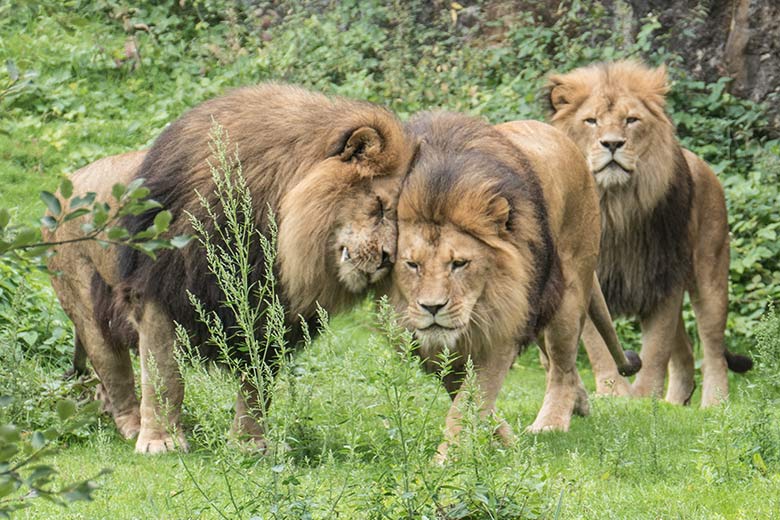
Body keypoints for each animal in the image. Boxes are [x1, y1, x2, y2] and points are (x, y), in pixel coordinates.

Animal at [390, 112, 640, 460]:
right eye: (412, 265)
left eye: (459, 264)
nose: (432, 308)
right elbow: (467, 396)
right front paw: (504, 439)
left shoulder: (502, 328)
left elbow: (469, 401)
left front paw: (447, 459)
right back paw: (578, 404)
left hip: (568, 291)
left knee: (562, 368)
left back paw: (550, 423)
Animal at [544, 58, 752, 406]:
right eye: (590, 121)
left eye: (631, 120)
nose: (612, 144)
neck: (615, 207)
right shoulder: (584, 276)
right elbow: (598, 348)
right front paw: (614, 394)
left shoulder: (663, 276)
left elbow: (655, 349)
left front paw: (642, 399)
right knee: (685, 354)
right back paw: (675, 404)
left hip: (710, 276)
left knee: (712, 350)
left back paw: (714, 405)